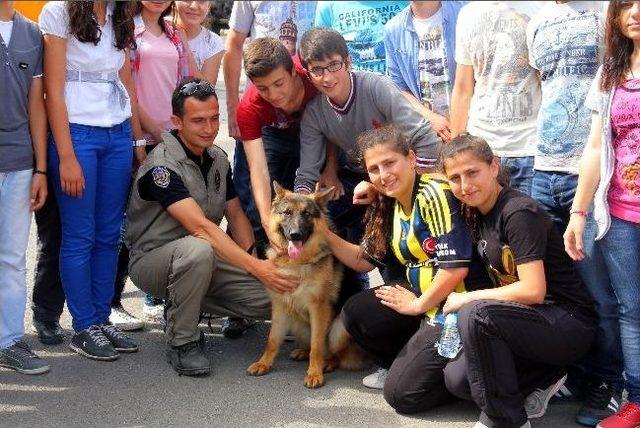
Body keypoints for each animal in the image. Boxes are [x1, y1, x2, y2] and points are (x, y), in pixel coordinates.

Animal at [246, 182, 362, 390]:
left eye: (307, 214)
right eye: (287, 213)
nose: (295, 235)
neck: (296, 263)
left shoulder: (318, 308)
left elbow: (317, 346)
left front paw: (314, 373)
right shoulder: (280, 306)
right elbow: (272, 340)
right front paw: (264, 363)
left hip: (338, 328)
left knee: (336, 355)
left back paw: (327, 363)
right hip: (297, 323)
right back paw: (302, 352)